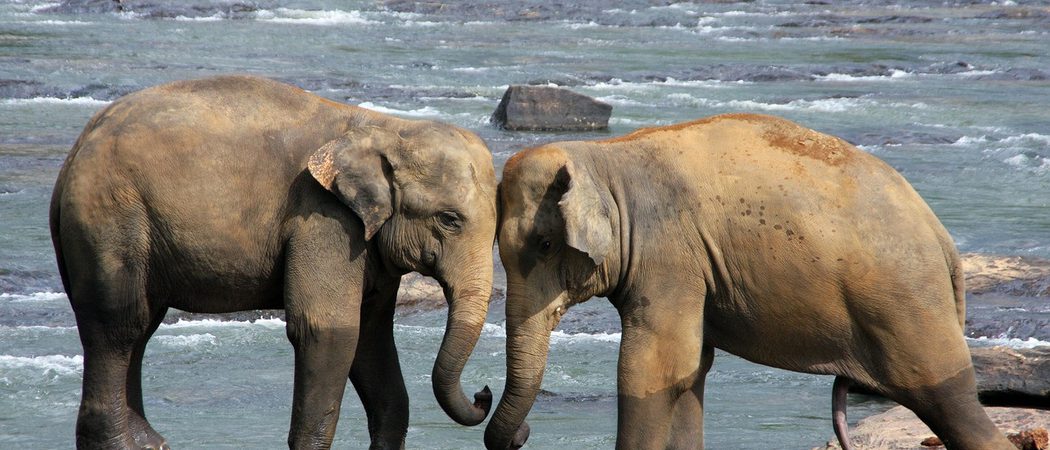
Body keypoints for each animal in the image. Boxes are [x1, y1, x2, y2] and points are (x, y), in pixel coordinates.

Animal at [49, 75, 497, 449]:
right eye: (450, 219)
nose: (483, 393)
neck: (386, 126)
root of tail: (75, 152)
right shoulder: (323, 219)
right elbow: (328, 329)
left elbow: (370, 335)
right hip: (110, 220)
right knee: (120, 326)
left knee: (140, 327)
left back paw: (149, 443)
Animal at [485, 113, 1014, 450]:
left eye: (545, 245)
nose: (522, 434)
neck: (605, 157)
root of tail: (942, 238)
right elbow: (690, 371)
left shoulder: (669, 255)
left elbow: (650, 370)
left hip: (909, 306)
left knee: (952, 405)